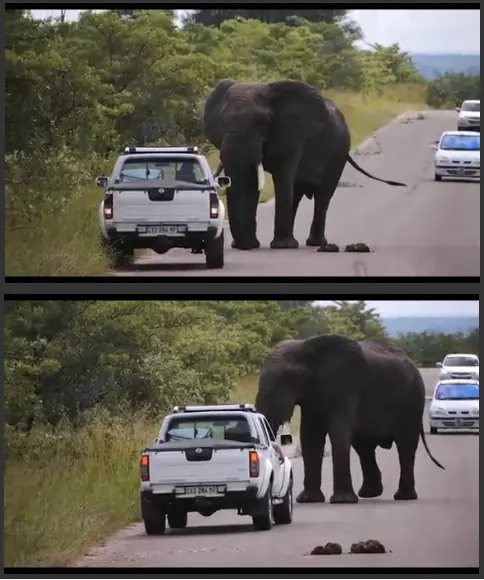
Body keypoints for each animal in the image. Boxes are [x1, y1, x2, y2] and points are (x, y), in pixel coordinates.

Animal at [202, 78, 406, 250]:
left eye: (263, 121)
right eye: (222, 120)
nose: (242, 246)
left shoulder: (293, 135)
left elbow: (282, 177)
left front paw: (279, 247)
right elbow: (252, 182)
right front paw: (250, 245)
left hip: (339, 151)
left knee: (323, 195)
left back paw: (313, 244)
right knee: (297, 193)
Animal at [255, 334, 444, 506]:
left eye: (286, 379)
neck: (306, 347)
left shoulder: (345, 383)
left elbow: (338, 431)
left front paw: (342, 501)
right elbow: (310, 435)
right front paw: (309, 500)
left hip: (412, 402)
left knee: (405, 444)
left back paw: (404, 497)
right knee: (363, 446)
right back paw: (370, 494)